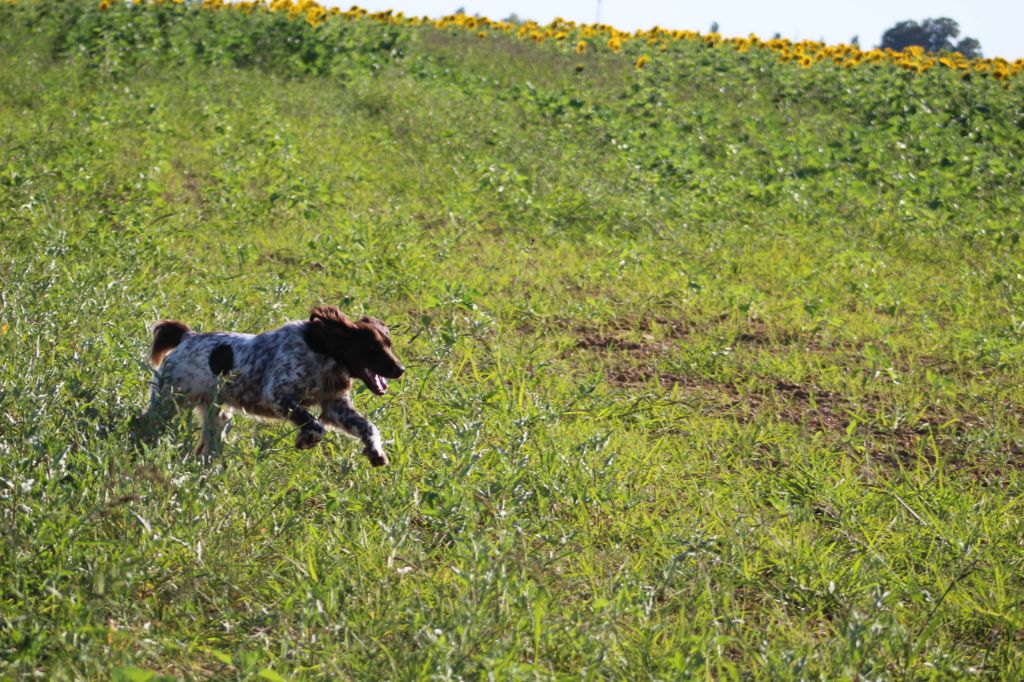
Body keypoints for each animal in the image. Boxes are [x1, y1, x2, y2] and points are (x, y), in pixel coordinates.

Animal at [148, 305, 403, 464]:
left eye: (389, 344)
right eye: (371, 347)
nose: (400, 370)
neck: (322, 352)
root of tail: (186, 337)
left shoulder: (334, 405)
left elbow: (368, 427)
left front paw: (375, 451)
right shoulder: (276, 395)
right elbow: (313, 424)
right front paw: (305, 440)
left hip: (218, 416)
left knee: (206, 448)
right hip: (169, 401)